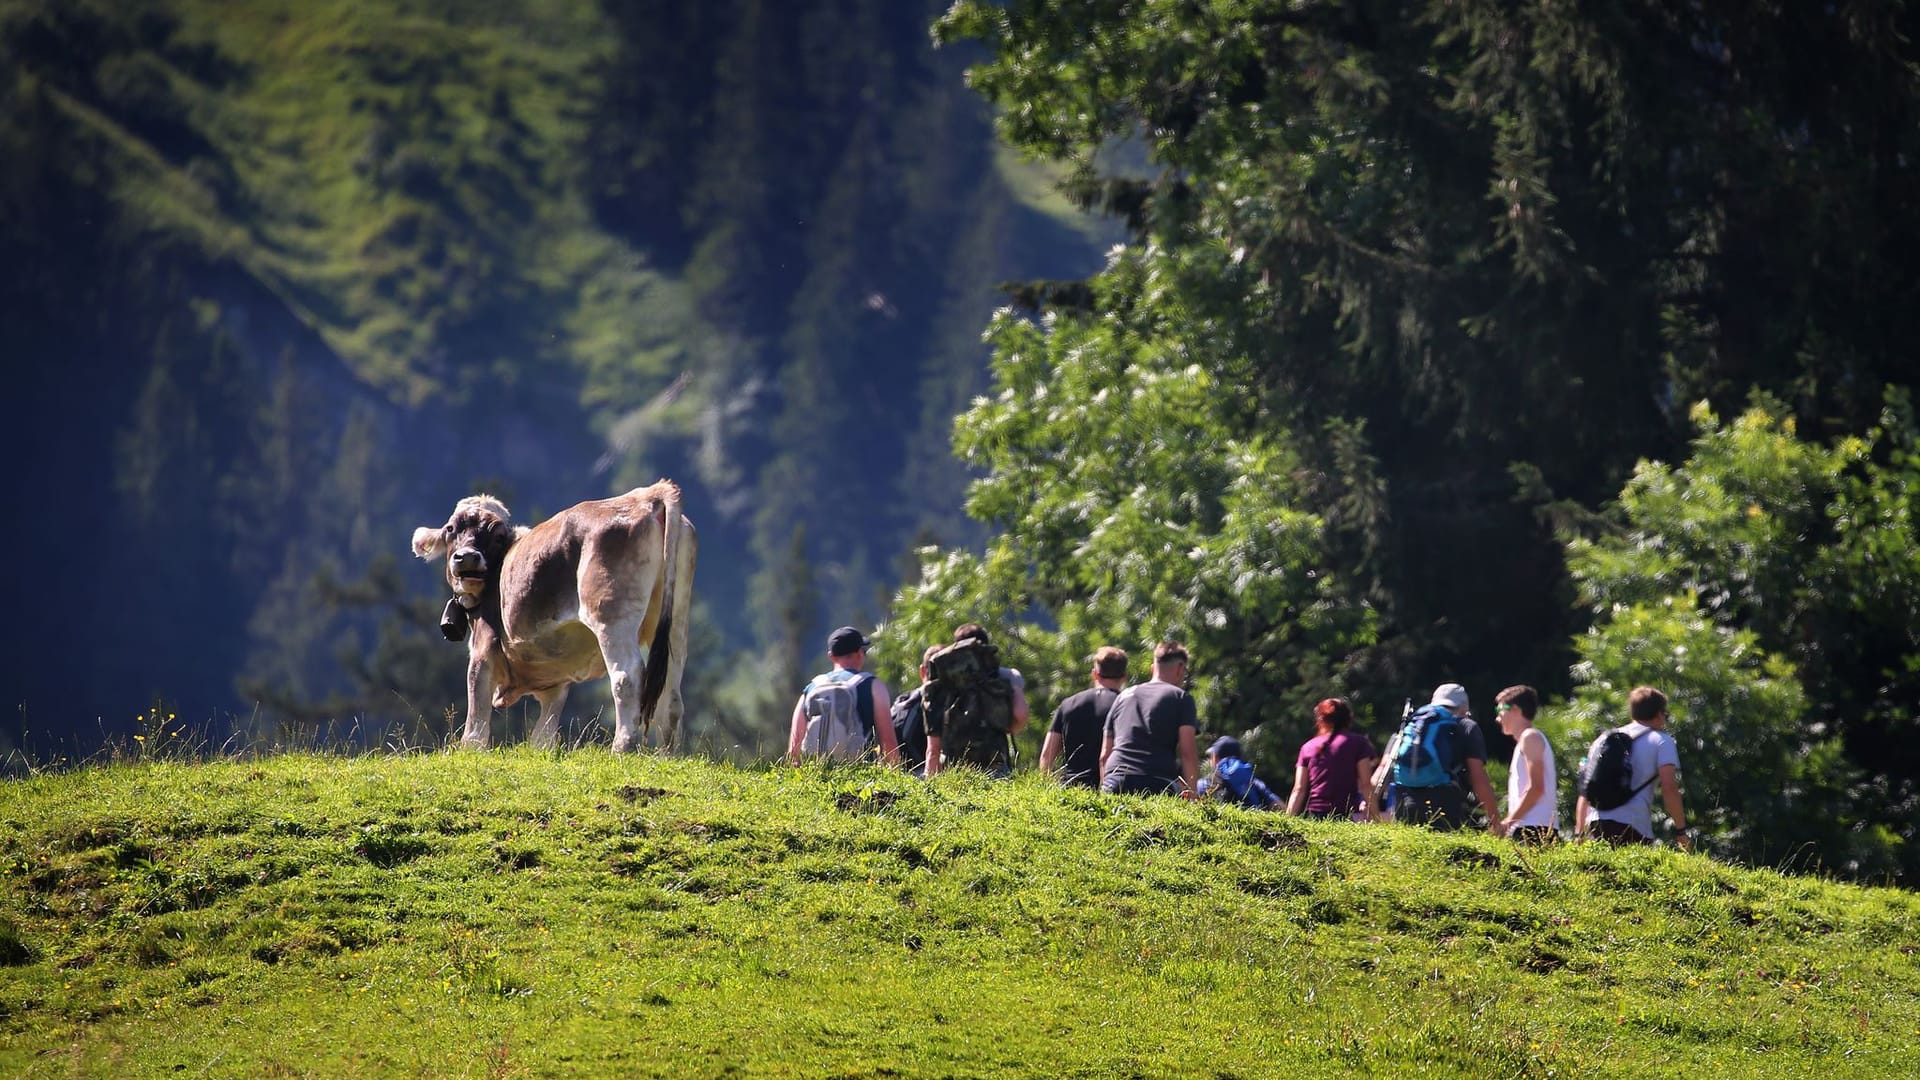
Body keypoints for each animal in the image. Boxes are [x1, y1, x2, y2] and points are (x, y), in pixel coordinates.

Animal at [408, 478, 695, 749]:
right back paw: (665, 754)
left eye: (497, 534)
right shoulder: (555, 683)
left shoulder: (483, 649)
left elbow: (476, 723)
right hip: (676, 618)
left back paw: (622, 747)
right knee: (671, 693)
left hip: (611, 615)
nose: (466, 557)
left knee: (627, 677)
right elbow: (542, 736)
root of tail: (645, 496)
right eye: (451, 529)